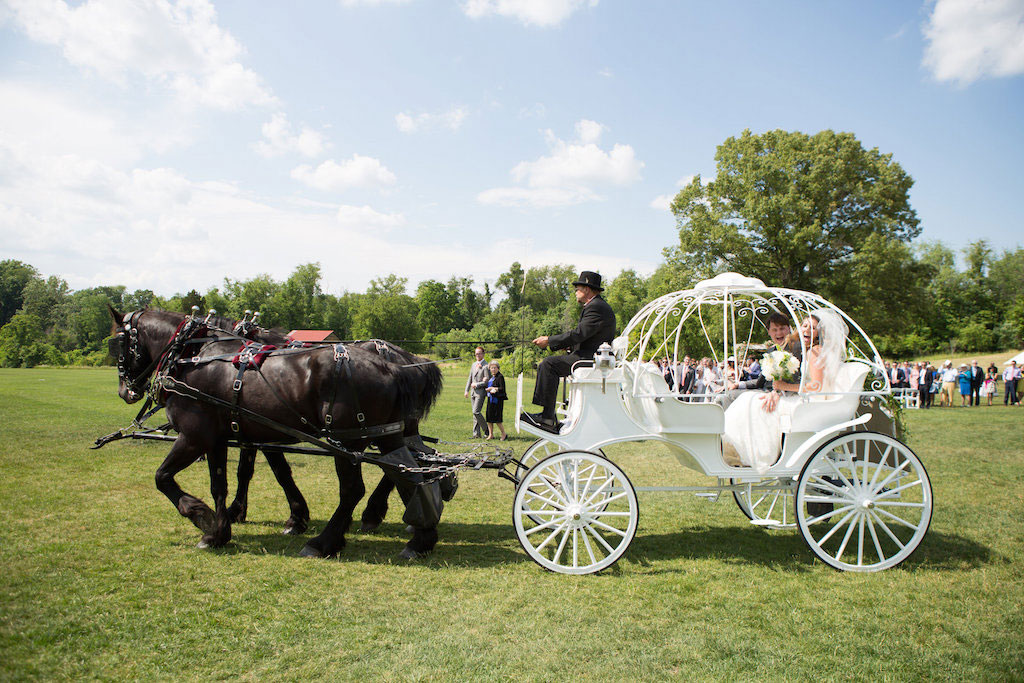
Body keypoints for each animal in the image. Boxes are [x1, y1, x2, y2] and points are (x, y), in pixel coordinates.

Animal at [109, 307, 444, 557]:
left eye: (118, 344)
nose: (125, 391)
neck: (192, 356)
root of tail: (396, 366)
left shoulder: (195, 437)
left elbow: (163, 477)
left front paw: (202, 516)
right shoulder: (225, 437)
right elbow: (223, 483)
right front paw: (220, 530)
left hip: (349, 438)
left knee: (355, 489)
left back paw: (326, 542)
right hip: (386, 432)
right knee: (409, 471)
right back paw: (419, 538)